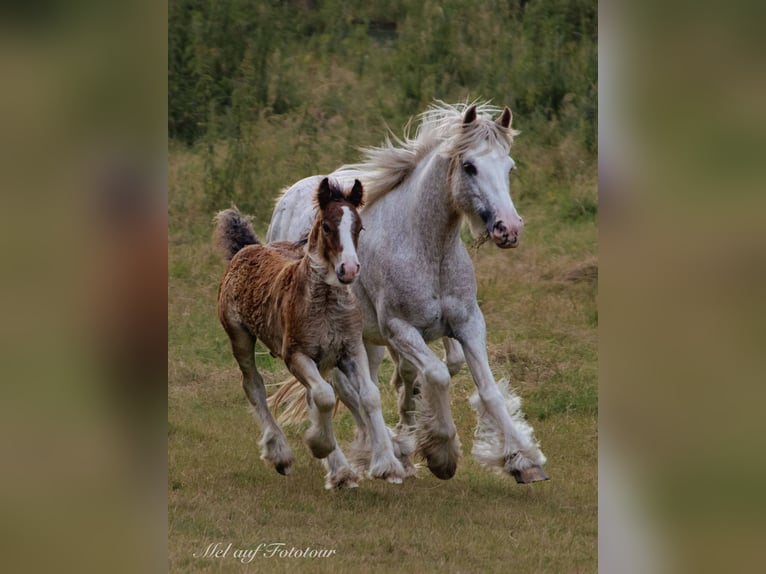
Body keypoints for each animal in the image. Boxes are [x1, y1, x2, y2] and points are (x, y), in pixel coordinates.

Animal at [214, 179, 404, 490]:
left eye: (359, 227)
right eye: (326, 226)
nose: (349, 269)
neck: (325, 303)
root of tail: (249, 249)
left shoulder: (351, 350)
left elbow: (369, 396)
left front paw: (388, 466)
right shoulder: (296, 355)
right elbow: (325, 397)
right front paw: (318, 443)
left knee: (308, 395)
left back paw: (341, 472)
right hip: (239, 337)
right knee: (254, 386)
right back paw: (282, 455)